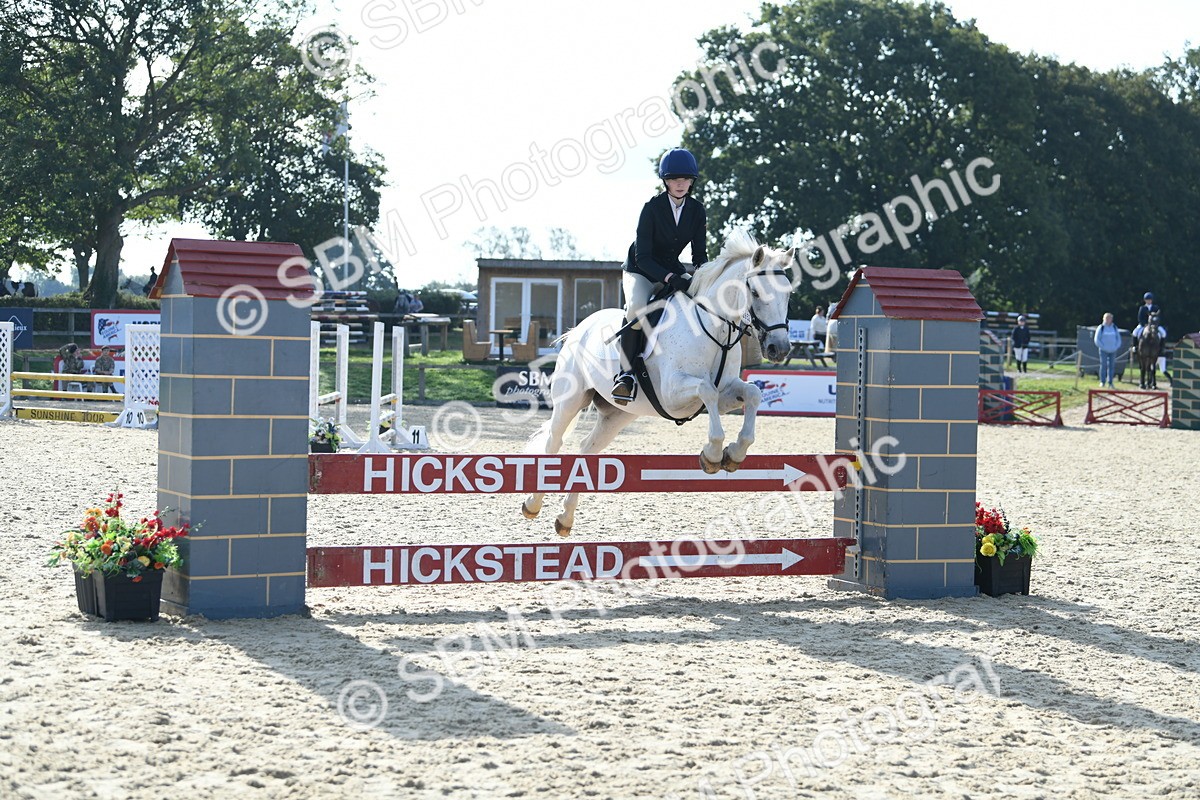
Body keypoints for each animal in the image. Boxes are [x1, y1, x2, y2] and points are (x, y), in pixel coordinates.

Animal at [521, 230, 795, 537]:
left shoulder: (727, 391)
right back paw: (532, 504)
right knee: (553, 443)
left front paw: (734, 454)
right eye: (756, 293)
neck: (715, 326)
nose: (779, 349)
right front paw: (712, 454)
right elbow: (707, 390)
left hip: (618, 414)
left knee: (587, 448)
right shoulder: (673, 394)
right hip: (570, 401)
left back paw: (565, 518)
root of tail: (580, 327)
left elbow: (753, 393)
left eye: (788, 293)